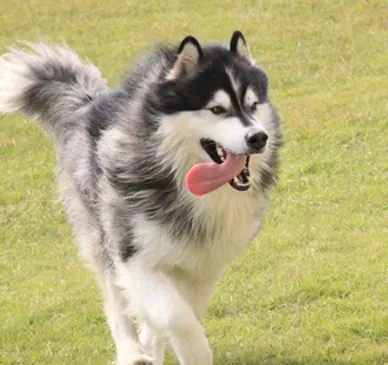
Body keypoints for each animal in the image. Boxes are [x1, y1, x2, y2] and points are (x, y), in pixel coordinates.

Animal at [0, 31, 280, 364]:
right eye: (216, 110)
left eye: (252, 105)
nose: (258, 138)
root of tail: (91, 103)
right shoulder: (134, 257)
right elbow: (176, 316)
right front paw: (193, 350)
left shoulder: (205, 262)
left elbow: (183, 311)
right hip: (102, 237)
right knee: (116, 304)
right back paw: (132, 351)